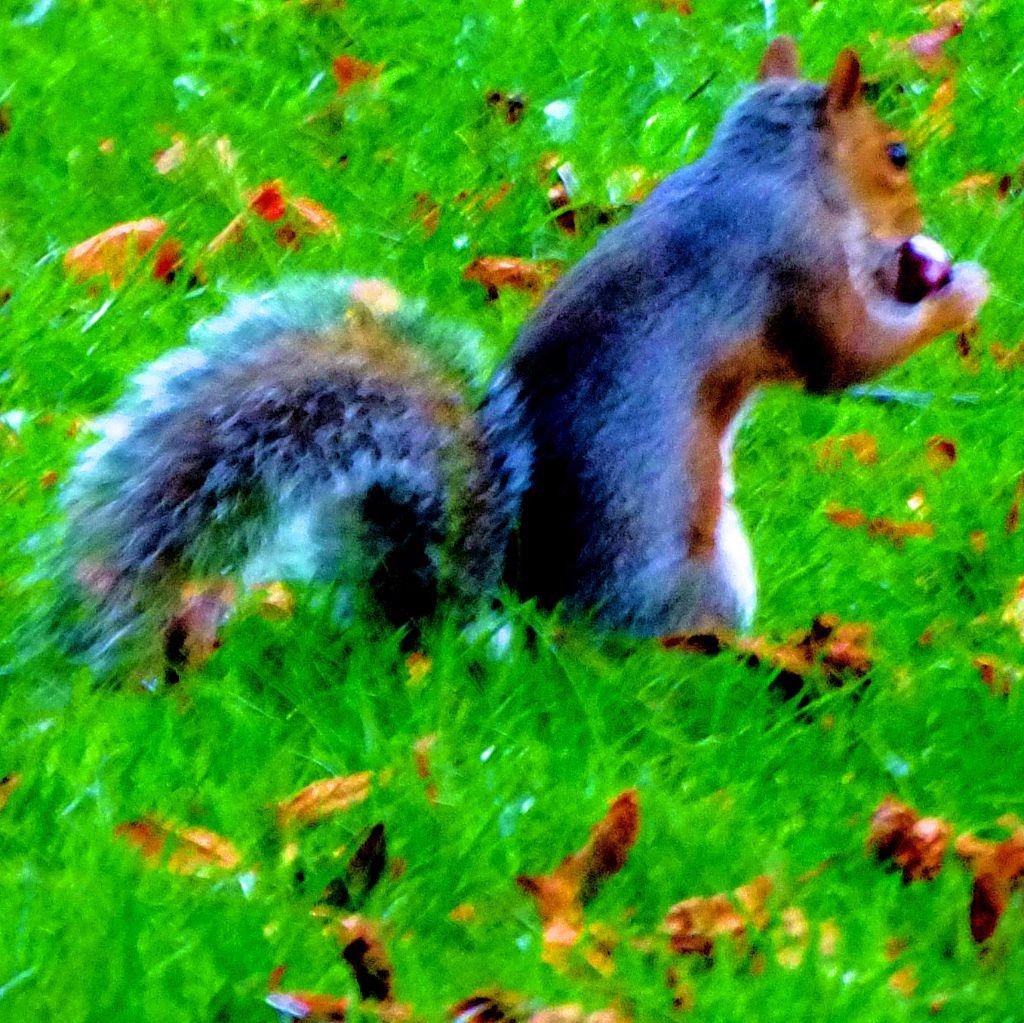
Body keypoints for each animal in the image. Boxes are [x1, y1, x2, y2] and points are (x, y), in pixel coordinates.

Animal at [62, 37, 989, 674]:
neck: (769, 168)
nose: (917, 222)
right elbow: (845, 355)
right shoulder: (793, 262)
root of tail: (534, 624)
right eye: (897, 153)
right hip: (709, 574)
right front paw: (966, 289)